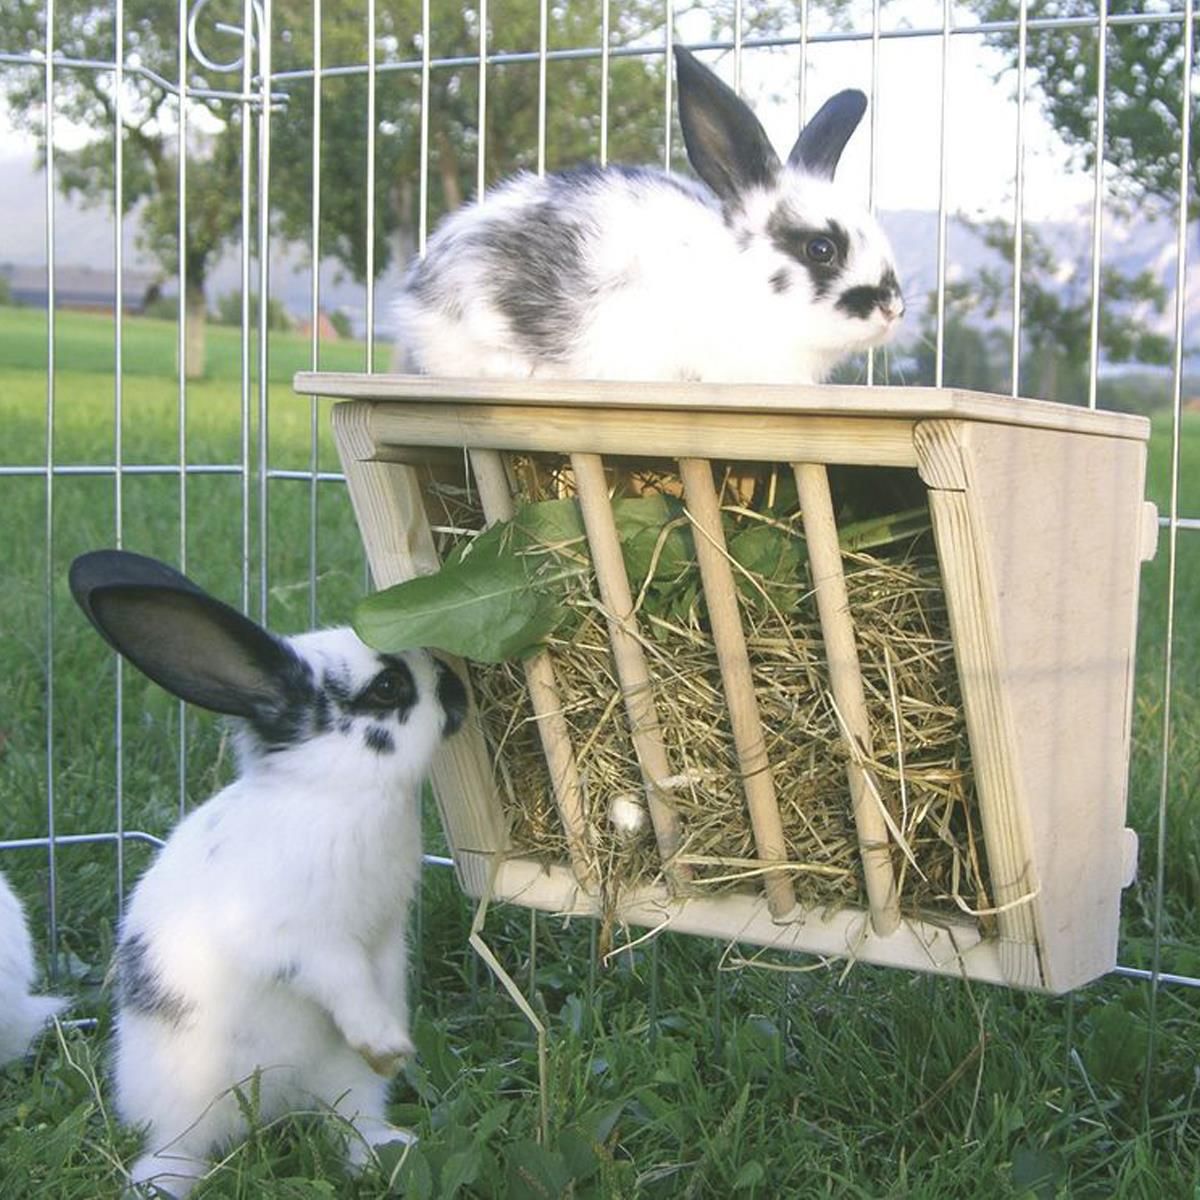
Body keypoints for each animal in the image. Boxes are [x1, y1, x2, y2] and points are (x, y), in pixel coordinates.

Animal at [68, 549, 468, 1198]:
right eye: (388, 687)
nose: (457, 687)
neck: (336, 789)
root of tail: (276, 1104)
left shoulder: (385, 937)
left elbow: (380, 981)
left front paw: (395, 1043)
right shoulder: (300, 940)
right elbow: (343, 981)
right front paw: (388, 1042)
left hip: (343, 1082)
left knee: (349, 1121)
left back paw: (390, 1152)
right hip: (186, 1105)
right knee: (178, 1149)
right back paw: (160, 1184)